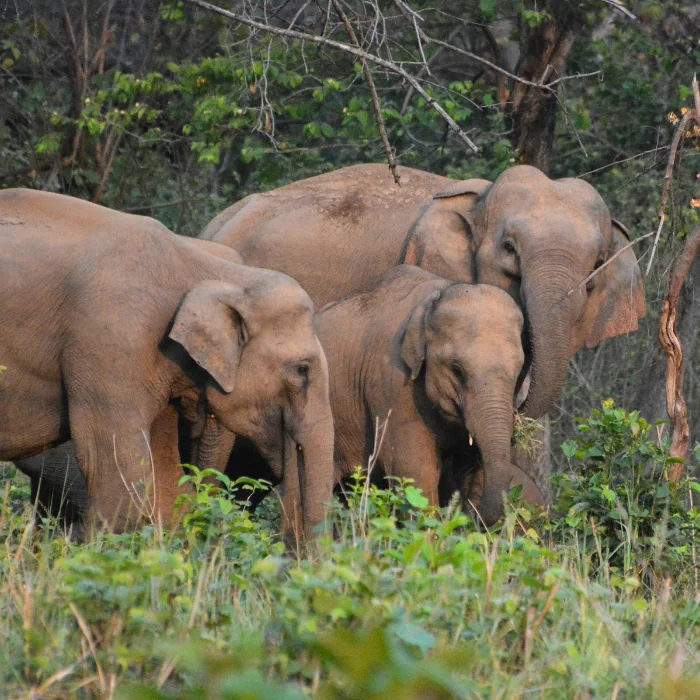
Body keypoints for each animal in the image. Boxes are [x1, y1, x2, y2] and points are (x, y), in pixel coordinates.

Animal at [314, 265, 545, 524]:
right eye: (457, 369)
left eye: (520, 370)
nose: (464, 514)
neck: (435, 296)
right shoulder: (392, 384)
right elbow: (415, 473)